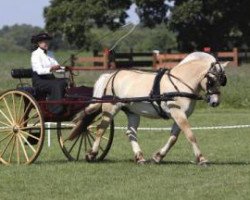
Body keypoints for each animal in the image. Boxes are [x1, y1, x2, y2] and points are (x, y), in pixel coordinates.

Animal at [71, 52, 229, 165]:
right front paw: (201, 159)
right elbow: (190, 135)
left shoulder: (179, 115)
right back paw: (92, 154)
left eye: (222, 80)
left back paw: (140, 157)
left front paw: (158, 157)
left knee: (131, 132)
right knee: (100, 129)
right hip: (110, 109)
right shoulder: (178, 113)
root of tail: (112, 75)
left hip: (132, 112)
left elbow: (173, 138)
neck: (180, 82)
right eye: (211, 80)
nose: (215, 102)